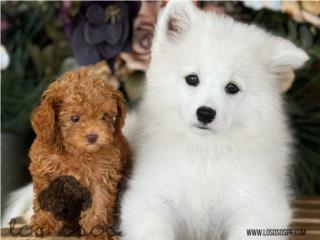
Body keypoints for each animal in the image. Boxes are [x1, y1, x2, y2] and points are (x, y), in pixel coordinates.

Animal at [28, 67, 131, 238]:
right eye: (74, 118)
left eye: (104, 116)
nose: (93, 136)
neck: (76, 152)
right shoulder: (45, 172)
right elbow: (46, 199)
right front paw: (44, 224)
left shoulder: (101, 177)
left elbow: (98, 204)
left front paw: (97, 232)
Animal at [119, 0, 308, 239]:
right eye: (192, 79)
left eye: (232, 87)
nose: (205, 113)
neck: (205, 152)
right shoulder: (147, 198)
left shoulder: (260, 205)